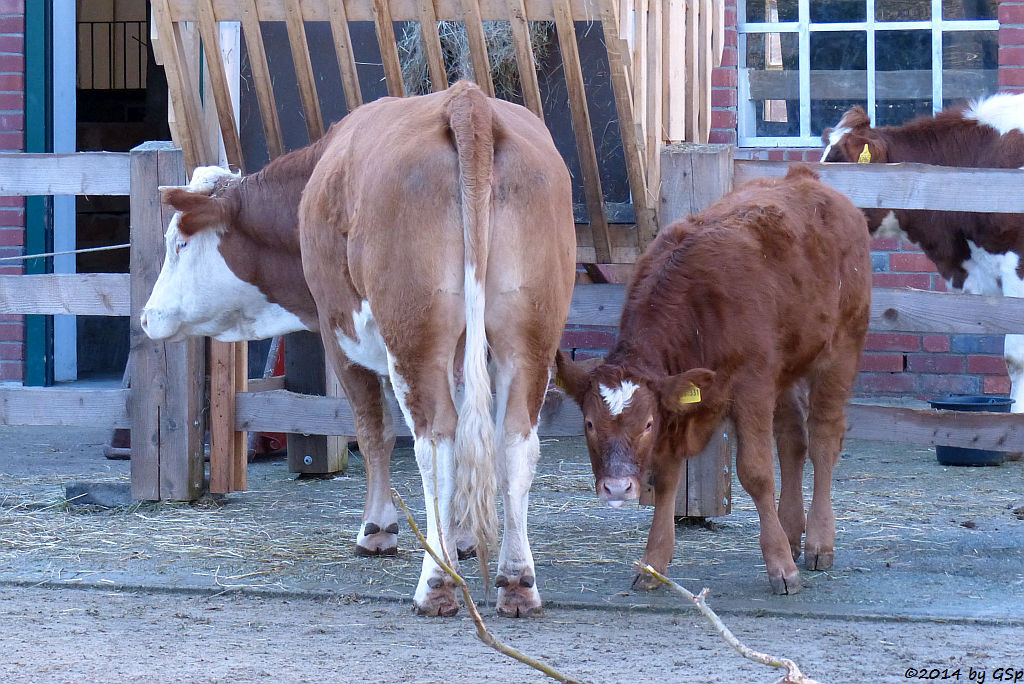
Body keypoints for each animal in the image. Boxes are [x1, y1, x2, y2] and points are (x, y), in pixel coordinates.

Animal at [140, 82, 581, 618]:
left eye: (179, 243)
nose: (147, 317)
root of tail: (466, 100)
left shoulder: (338, 334)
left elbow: (374, 433)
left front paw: (378, 529)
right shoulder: (460, 353)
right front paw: (460, 537)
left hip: (414, 338)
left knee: (435, 440)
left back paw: (436, 582)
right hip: (529, 337)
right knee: (514, 439)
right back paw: (516, 580)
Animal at [557, 165, 868, 593]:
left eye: (646, 424)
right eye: (589, 423)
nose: (617, 488)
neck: (699, 308)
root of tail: (804, 177)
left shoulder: (752, 388)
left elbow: (756, 473)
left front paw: (780, 568)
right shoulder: (679, 403)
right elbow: (666, 477)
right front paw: (653, 563)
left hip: (842, 348)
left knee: (823, 439)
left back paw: (819, 541)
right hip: (785, 370)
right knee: (793, 441)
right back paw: (791, 531)